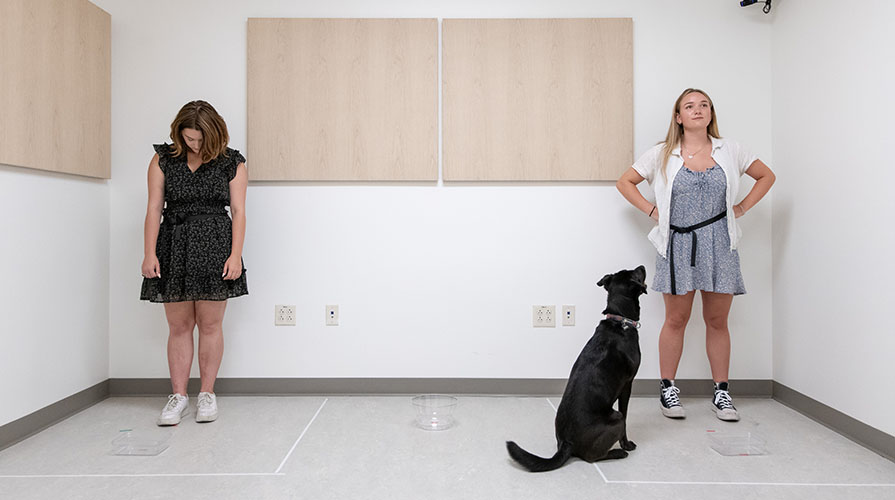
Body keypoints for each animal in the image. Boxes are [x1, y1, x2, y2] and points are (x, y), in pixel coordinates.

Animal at [508, 266, 648, 472]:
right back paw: (618, 453)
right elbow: (626, 415)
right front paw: (626, 444)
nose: (642, 266)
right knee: (591, 456)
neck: (619, 321)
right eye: (635, 274)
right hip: (616, 418)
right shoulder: (627, 385)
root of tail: (566, 442)